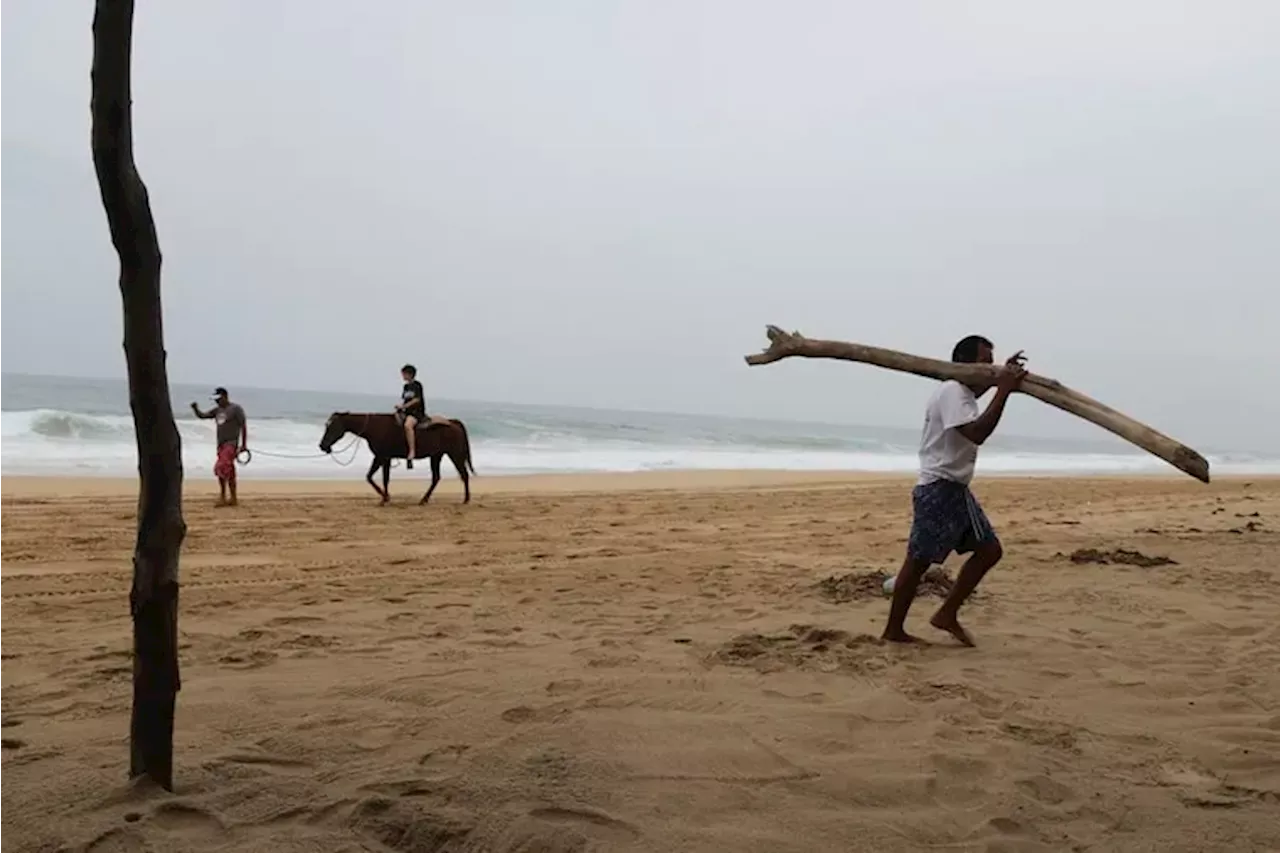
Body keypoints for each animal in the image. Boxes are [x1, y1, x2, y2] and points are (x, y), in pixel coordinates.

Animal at [318, 412, 476, 504]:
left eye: (331, 427)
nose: (322, 445)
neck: (374, 427)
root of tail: (454, 423)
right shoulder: (381, 457)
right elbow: (374, 477)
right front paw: (385, 497)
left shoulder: (382, 457)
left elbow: (380, 478)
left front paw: (385, 498)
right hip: (436, 456)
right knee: (436, 477)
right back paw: (424, 499)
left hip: (455, 455)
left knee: (464, 474)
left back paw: (466, 499)